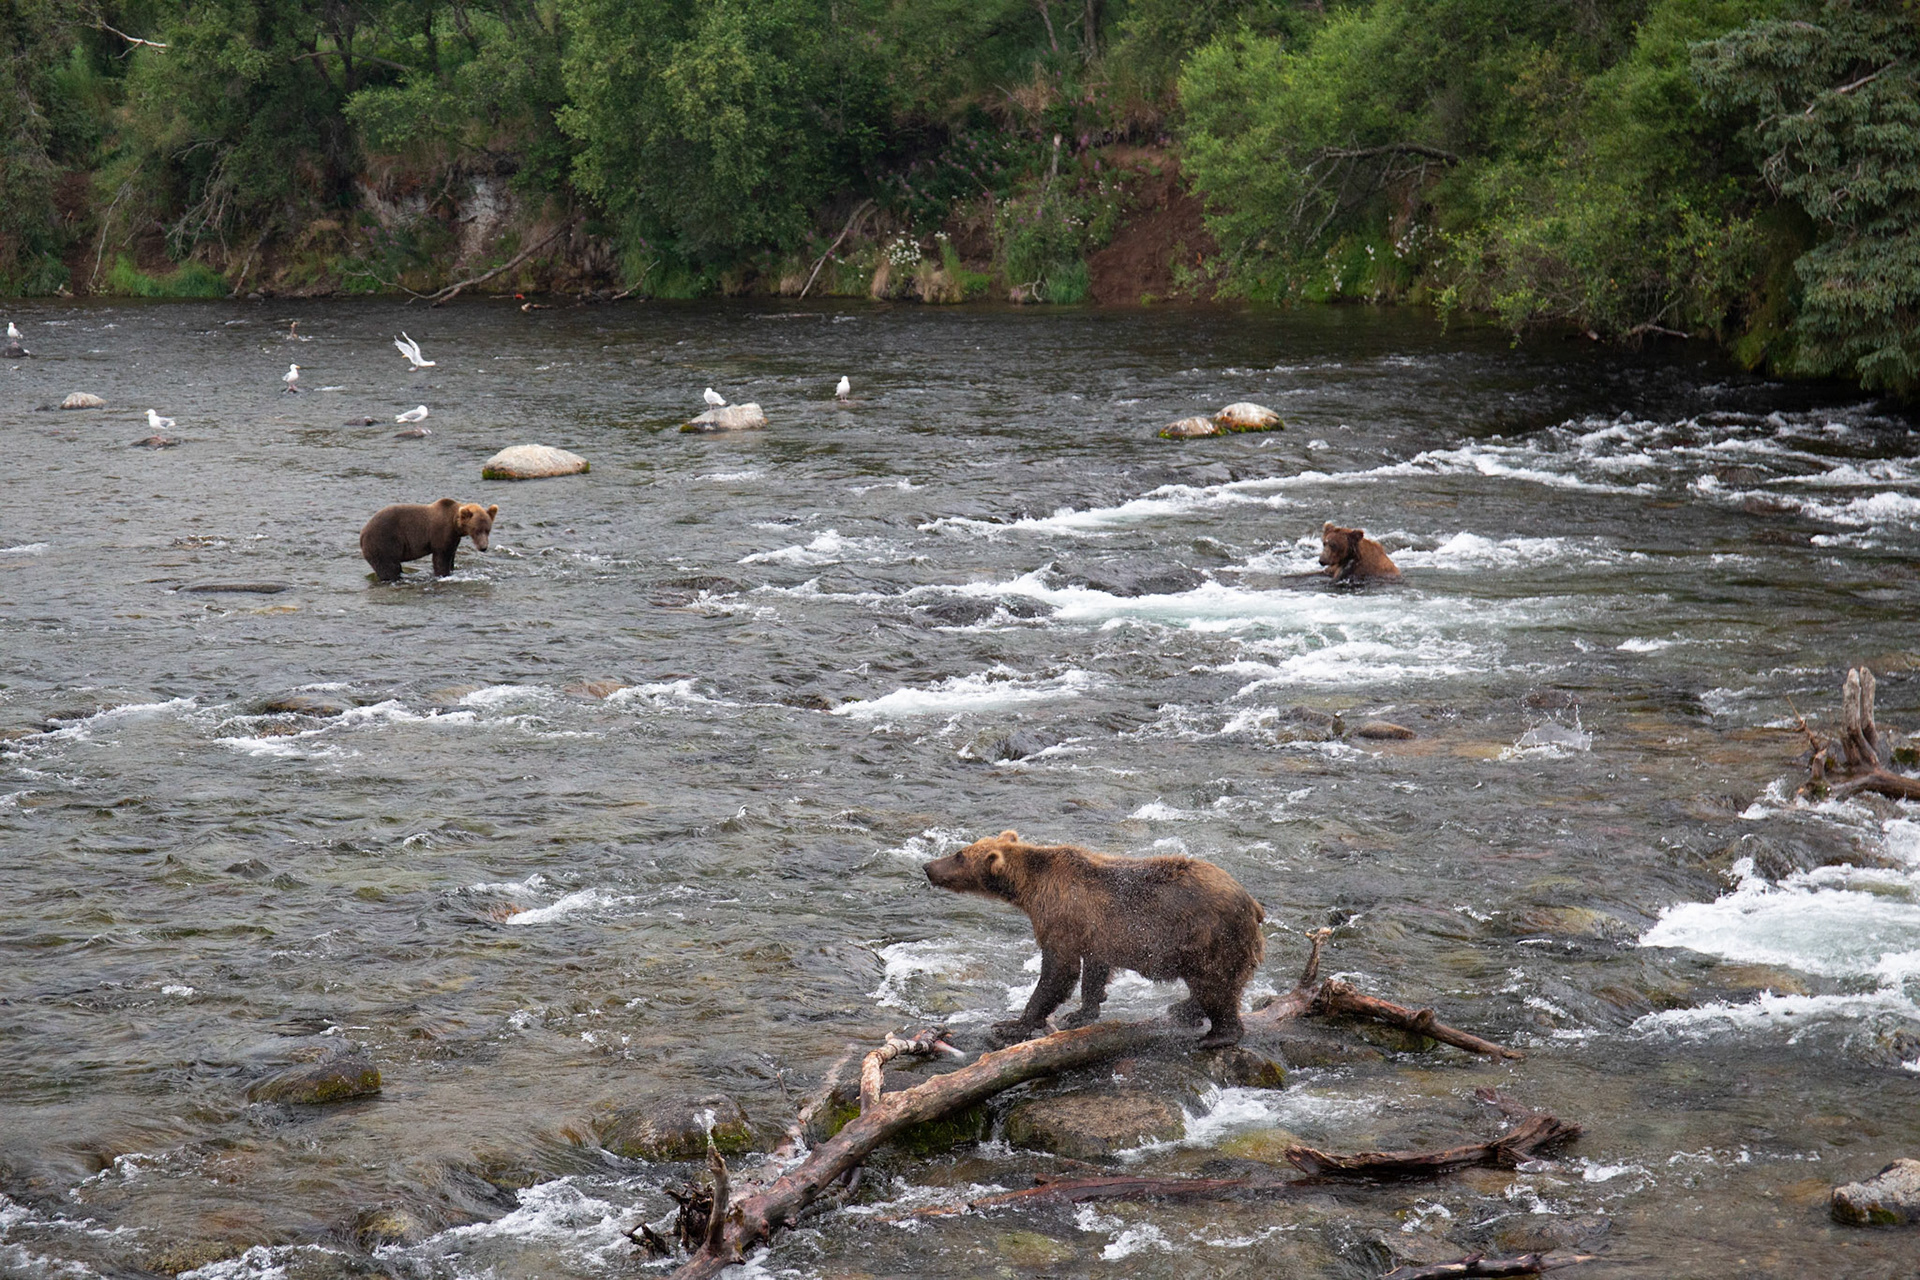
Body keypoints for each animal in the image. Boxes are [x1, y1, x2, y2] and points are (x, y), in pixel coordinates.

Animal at [358, 499, 498, 582]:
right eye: (476, 530)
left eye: (488, 530)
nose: (483, 547)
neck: (454, 524)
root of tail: (362, 532)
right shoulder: (441, 533)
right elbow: (441, 558)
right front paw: (443, 574)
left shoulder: (454, 539)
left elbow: (451, 556)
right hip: (384, 542)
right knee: (388, 567)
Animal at [924, 830, 1266, 1048]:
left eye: (959, 854)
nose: (928, 866)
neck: (1030, 889)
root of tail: (1253, 903)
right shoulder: (1095, 932)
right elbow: (1094, 971)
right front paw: (1082, 1011)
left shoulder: (1061, 917)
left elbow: (1058, 971)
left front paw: (1012, 1024)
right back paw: (1182, 1009)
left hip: (1210, 937)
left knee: (1215, 986)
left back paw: (1215, 1036)